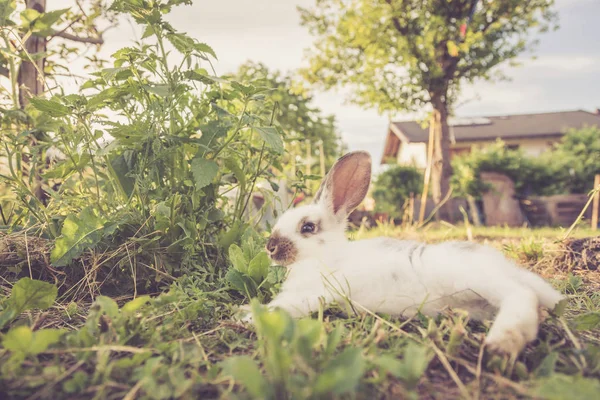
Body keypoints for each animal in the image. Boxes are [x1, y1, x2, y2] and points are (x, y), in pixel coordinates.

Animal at [238, 151, 564, 356]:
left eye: (307, 227)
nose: (270, 247)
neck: (324, 258)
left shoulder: (314, 293)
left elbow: (284, 306)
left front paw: (247, 316)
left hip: (479, 279)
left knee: (522, 297)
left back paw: (502, 342)